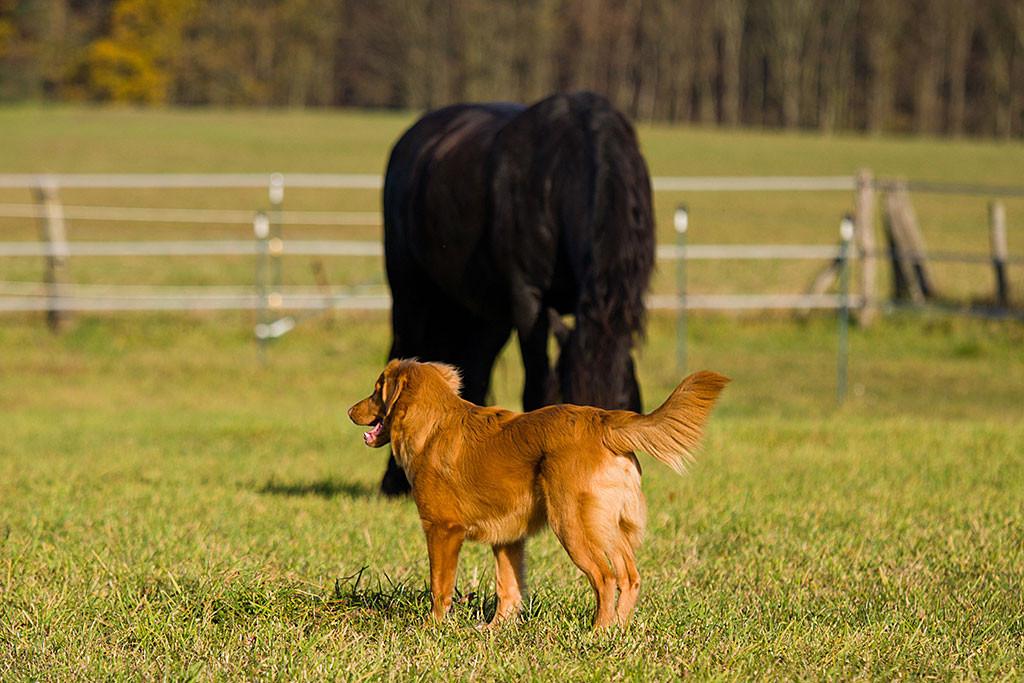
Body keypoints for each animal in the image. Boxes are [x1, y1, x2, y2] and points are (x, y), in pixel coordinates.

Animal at [378, 91, 655, 496]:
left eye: (623, 404)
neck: (561, 174)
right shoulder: (529, 301)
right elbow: (538, 389)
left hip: (483, 315)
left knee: (474, 373)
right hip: (410, 294)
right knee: (405, 352)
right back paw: (393, 481)